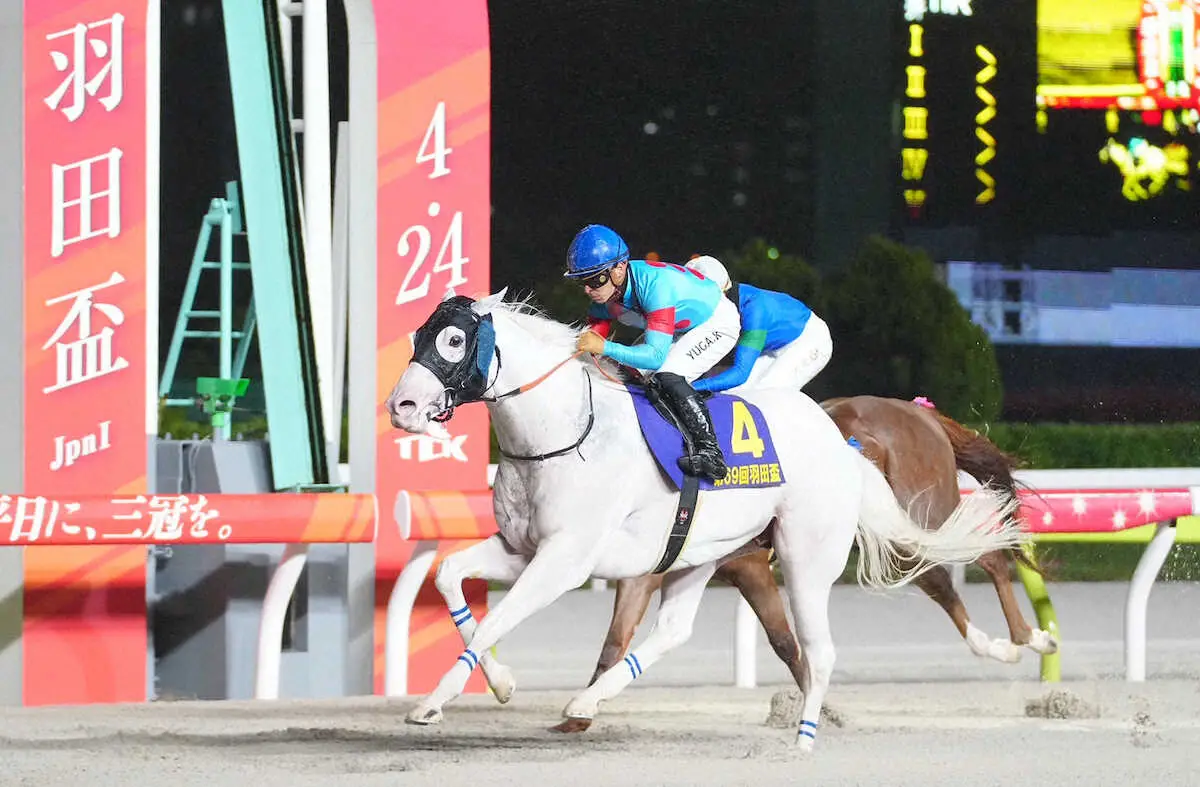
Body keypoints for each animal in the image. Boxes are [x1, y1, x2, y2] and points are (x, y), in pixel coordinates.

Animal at [585, 395, 1056, 691]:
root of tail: (918, 411)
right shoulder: (663, 567)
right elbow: (613, 643)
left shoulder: (745, 562)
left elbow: (784, 641)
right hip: (899, 534)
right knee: (940, 579)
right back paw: (1005, 643)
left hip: (925, 512)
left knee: (988, 558)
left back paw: (1029, 638)